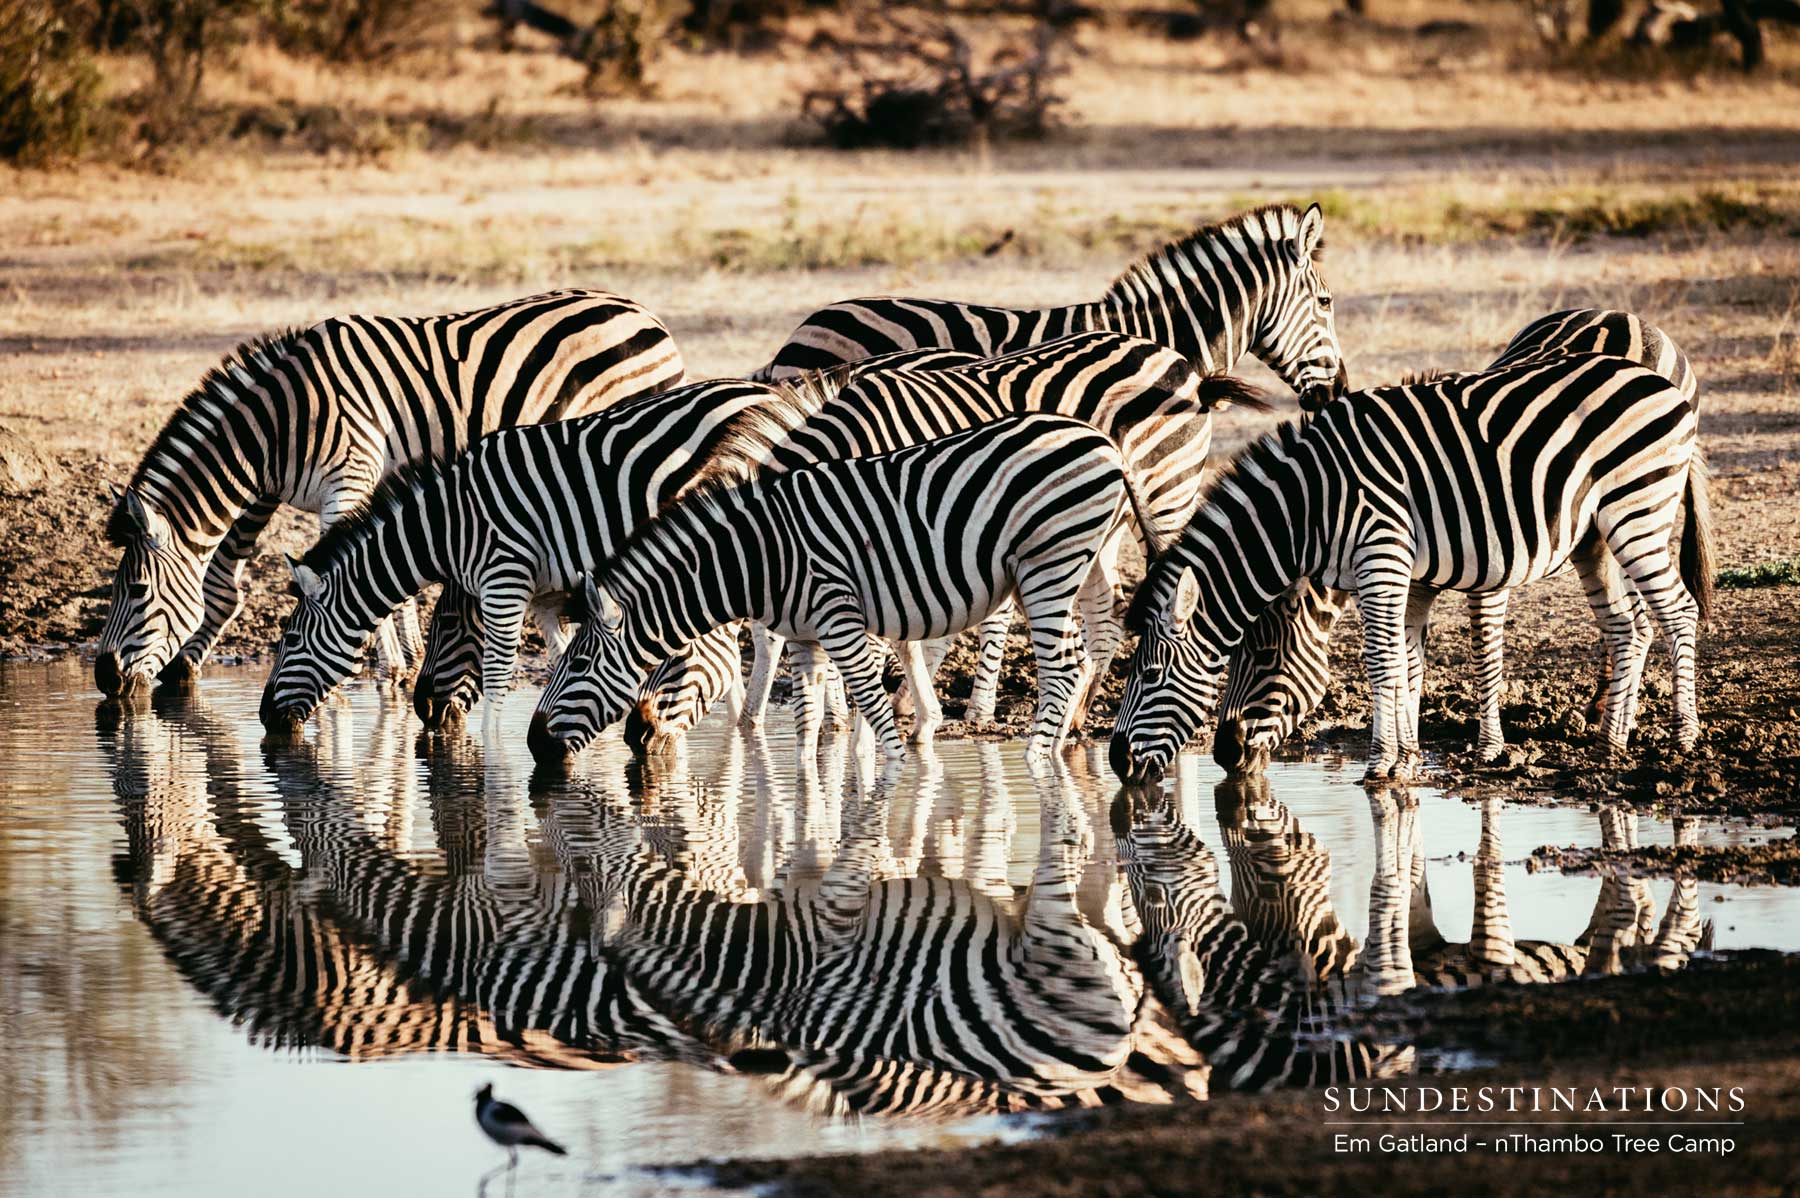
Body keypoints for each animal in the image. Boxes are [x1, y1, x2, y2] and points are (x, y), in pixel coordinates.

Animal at [97, 289, 683, 700]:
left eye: (137, 593)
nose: (105, 679)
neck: (280, 430)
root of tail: (642, 311)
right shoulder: (351, 487)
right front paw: (404, 661)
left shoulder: (348, 481)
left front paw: (381, 671)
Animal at [257, 378, 792, 741]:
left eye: (289, 639)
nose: (263, 717)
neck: (447, 526)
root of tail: (763, 392)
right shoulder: (546, 593)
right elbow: (562, 657)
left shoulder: (505, 580)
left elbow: (498, 678)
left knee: (767, 633)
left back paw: (750, 720)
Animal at [527, 412, 1168, 765]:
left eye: (579, 665)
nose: (533, 744)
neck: (758, 556)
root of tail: (1104, 439)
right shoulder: (805, 639)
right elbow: (809, 725)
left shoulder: (840, 620)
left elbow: (877, 714)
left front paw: (894, 788)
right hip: (1079, 561)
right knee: (1086, 647)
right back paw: (1058, 750)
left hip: (1049, 563)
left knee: (1061, 666)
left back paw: (1039, 764)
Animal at [1110, 352, 1714, 785]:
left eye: (1150, 674)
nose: (1117, 763)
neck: (1311, 508)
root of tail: (1663, 383)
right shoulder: (1405, 573)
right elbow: (1405, 661)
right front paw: (1405, 758)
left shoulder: (1382, 556)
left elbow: (1381, 661)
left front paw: (1380, 764)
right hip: (1595, 537)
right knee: (1627, 626)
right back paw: (1610, 743)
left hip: (1636, 509)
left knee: (1679, 612)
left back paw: (1684, 739)